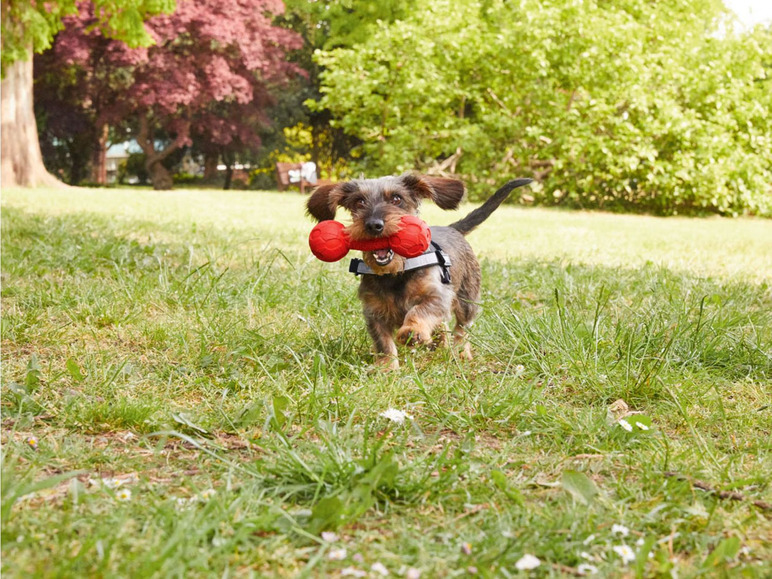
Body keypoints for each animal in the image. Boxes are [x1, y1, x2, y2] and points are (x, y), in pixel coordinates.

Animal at [306, 174, 532, 370]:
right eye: (359, 201)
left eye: (397, 198)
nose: (374, 225)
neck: (396, 273)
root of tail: (452, 228)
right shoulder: (373, 312)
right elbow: (383, 343)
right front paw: (387, 367)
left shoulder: (437, 296)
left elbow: (419, 310)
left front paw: (412, 330)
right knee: (443, 327)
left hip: (467, 299)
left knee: (461, 329)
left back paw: (460, 352)